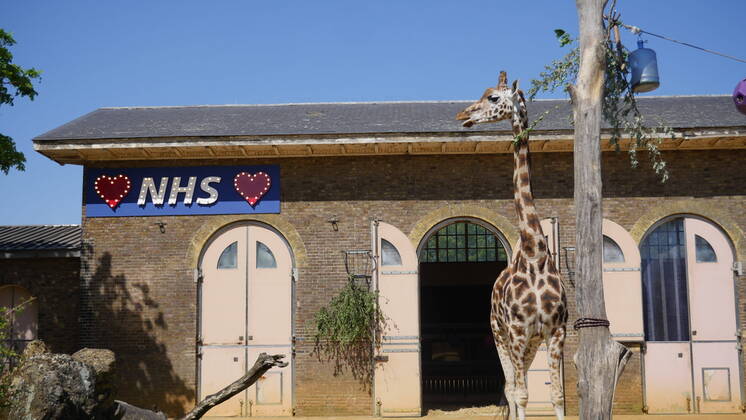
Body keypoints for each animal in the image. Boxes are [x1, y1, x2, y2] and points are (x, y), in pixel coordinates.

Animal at [456, 71, 567, 420]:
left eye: (493, 97)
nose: (463, 115)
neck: (535, 254)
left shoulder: (555, 332)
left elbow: (557, 396)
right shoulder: (516, 331)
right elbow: (522, 394)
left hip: (529, 341)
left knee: (515, 386)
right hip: (499, 334)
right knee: (511, 388)